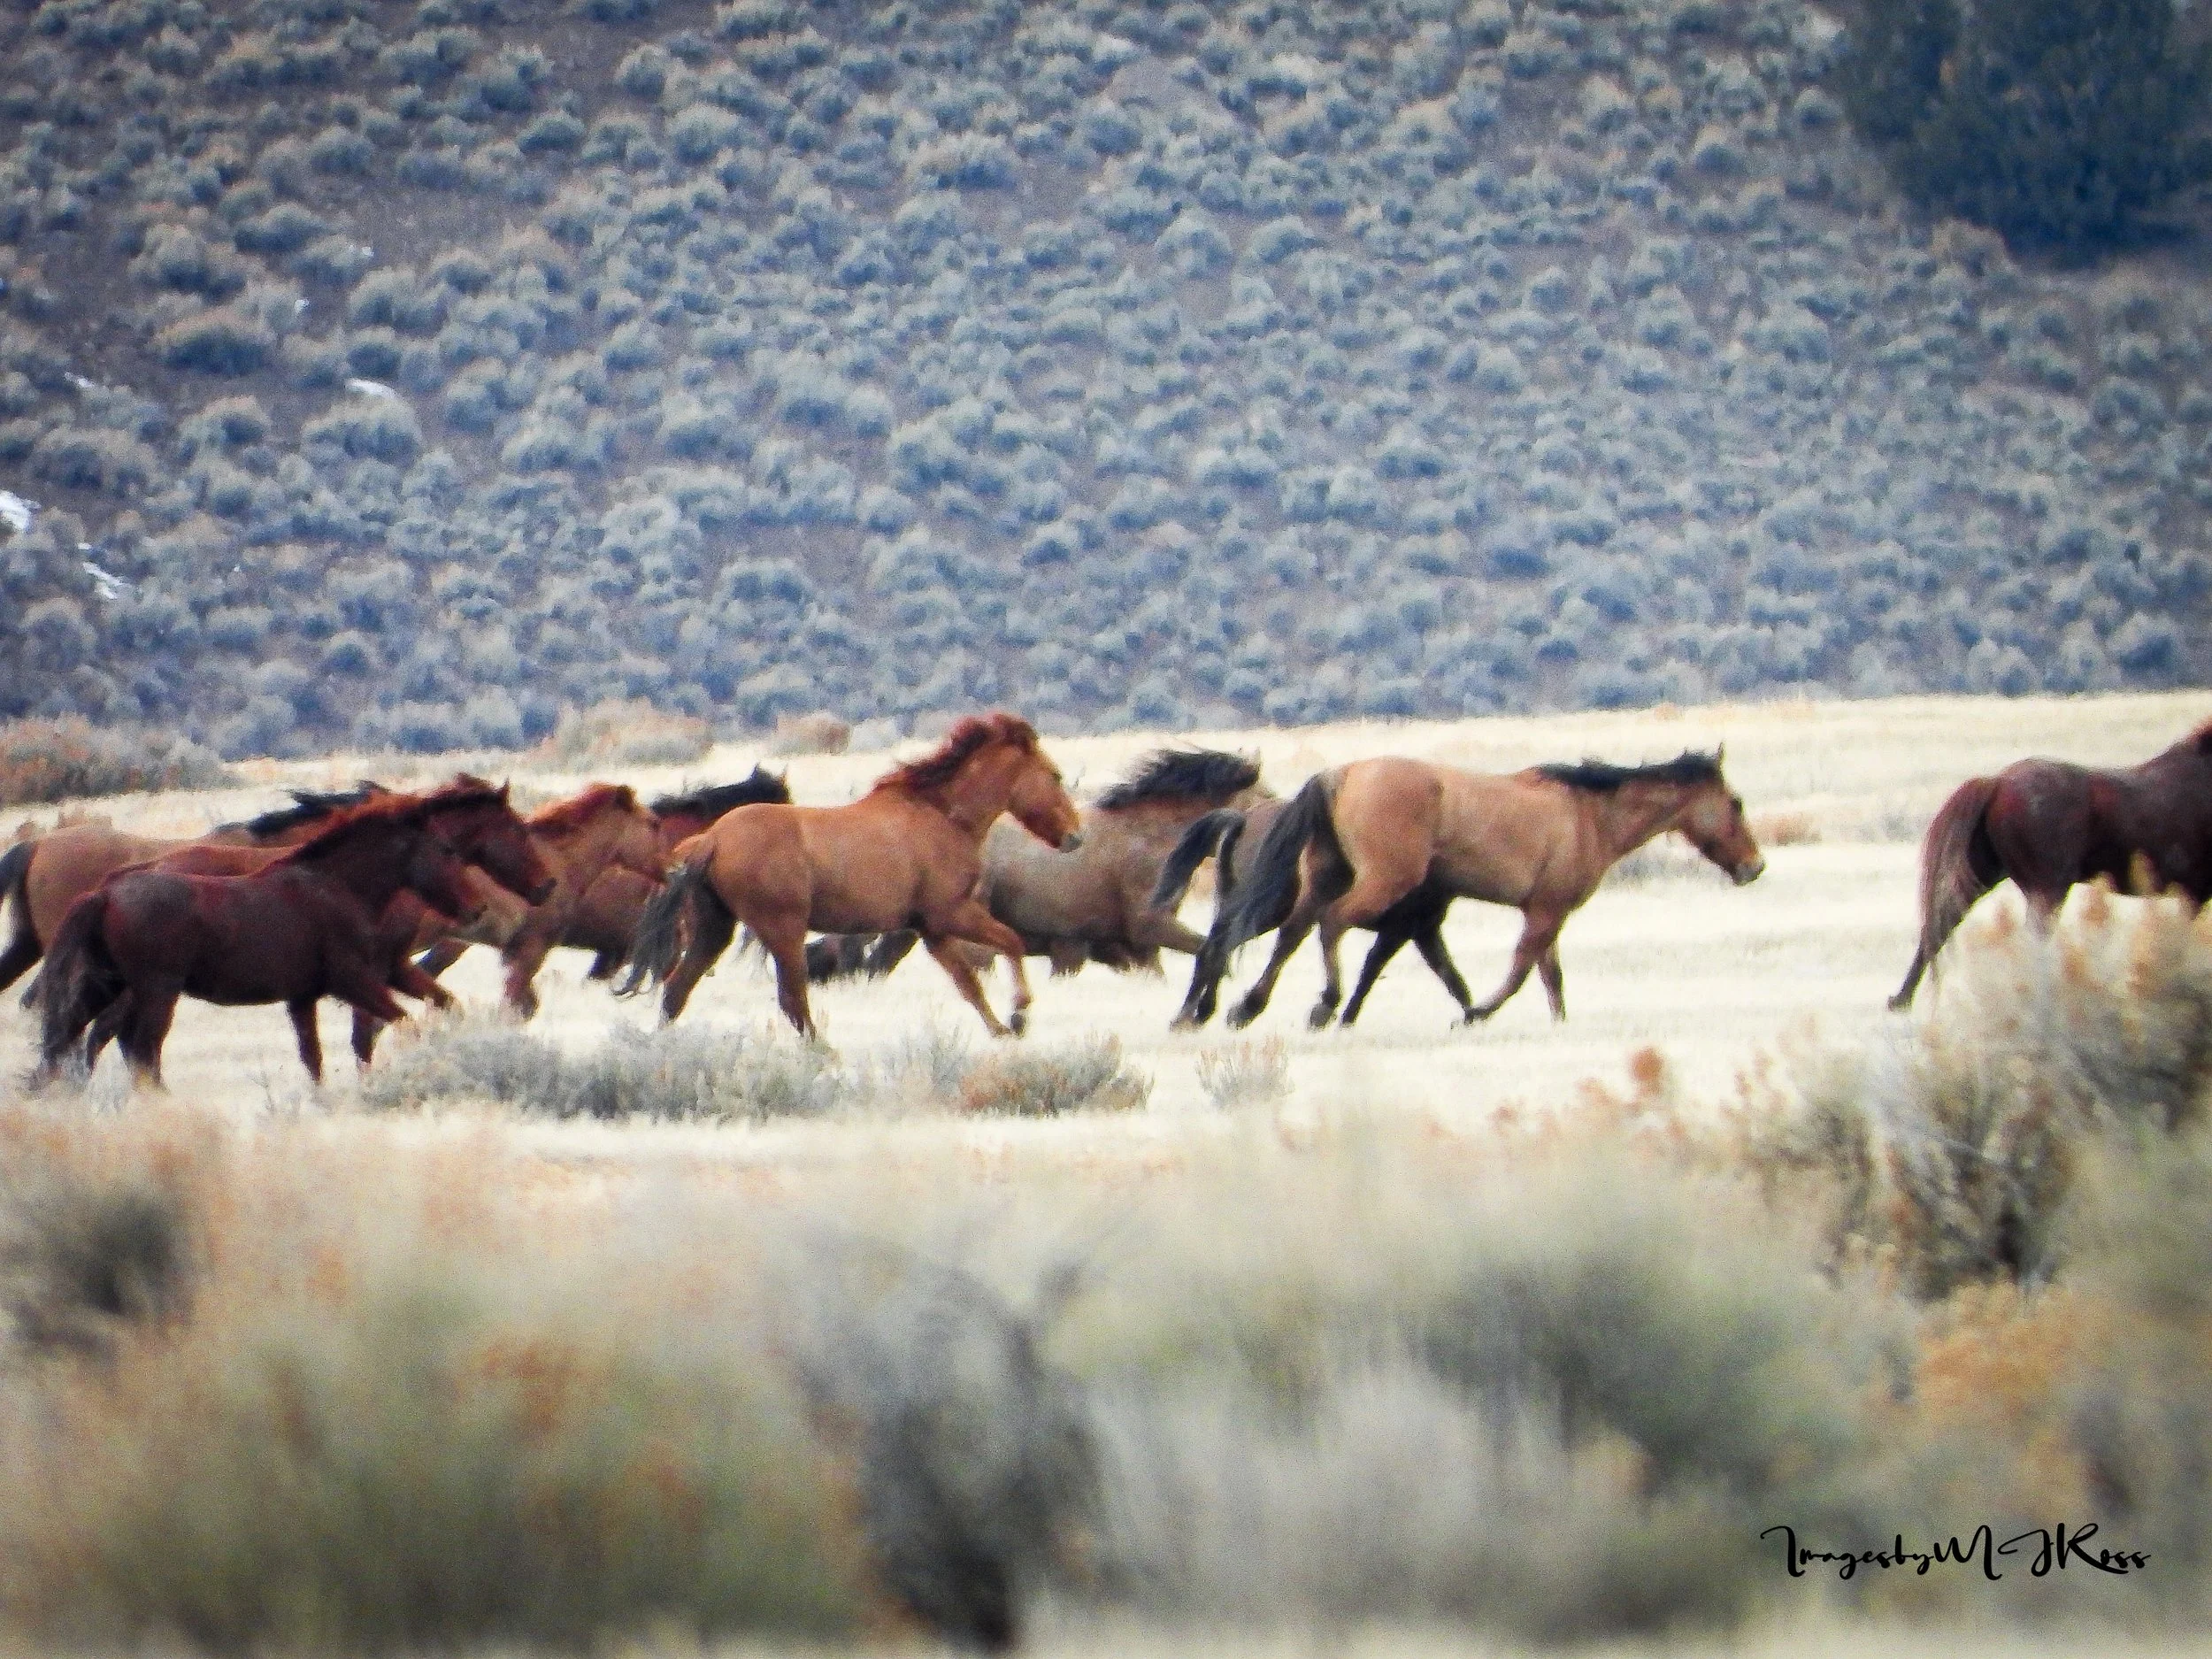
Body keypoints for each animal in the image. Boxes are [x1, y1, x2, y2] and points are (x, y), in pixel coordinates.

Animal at [32, 793, 488, 1088]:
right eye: (447, 850)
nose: (478, 908)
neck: (334, 887)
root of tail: (106, 893)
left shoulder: (306, 996)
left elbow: (314, 1057)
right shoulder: (351, 982)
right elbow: (405, 1023)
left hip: (110, 985)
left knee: (69, 1038)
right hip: (157, 990)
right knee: (140, 1050)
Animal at [622, 713, 1081, 1039]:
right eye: (1055, 775)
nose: (1075, 836)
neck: (940, 816)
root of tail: (712, 838)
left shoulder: (931, 929)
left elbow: (968, 984)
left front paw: (1002, 1030)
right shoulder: (952, 914)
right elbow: (1011, 943)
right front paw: (1019, 1015)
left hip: (715, 929)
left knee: (676, 991)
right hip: (782, 931)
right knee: (792, 1000)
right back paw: (827, 1055)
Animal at [811, 747, 1271, 985]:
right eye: (1265, 801)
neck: (1147, 837)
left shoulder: (1130, 947)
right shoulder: (1148, 929)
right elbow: (1211, 951)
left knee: (877, 965)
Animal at [1188, 751, 1766, 1031]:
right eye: (1736, 803)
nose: (1754, 868)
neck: (1588, 815)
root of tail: (1340, 775)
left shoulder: (1543, 913)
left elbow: (1550, 977)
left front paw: (1556, 1025)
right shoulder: (1546, 912)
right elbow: (1519, 973)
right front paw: (1474, 1015)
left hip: (1325, 878)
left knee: (1293, 933)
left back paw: (1244, 1009)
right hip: (1379, 882)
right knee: (1330, 925)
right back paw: (1322, 1006)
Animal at [1888, 720, 2212, 1010]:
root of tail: (1997, 782)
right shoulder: (2195, 893)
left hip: (1985, 875)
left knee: (1942, 923)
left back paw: (1902, 1000)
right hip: (2048, 889)